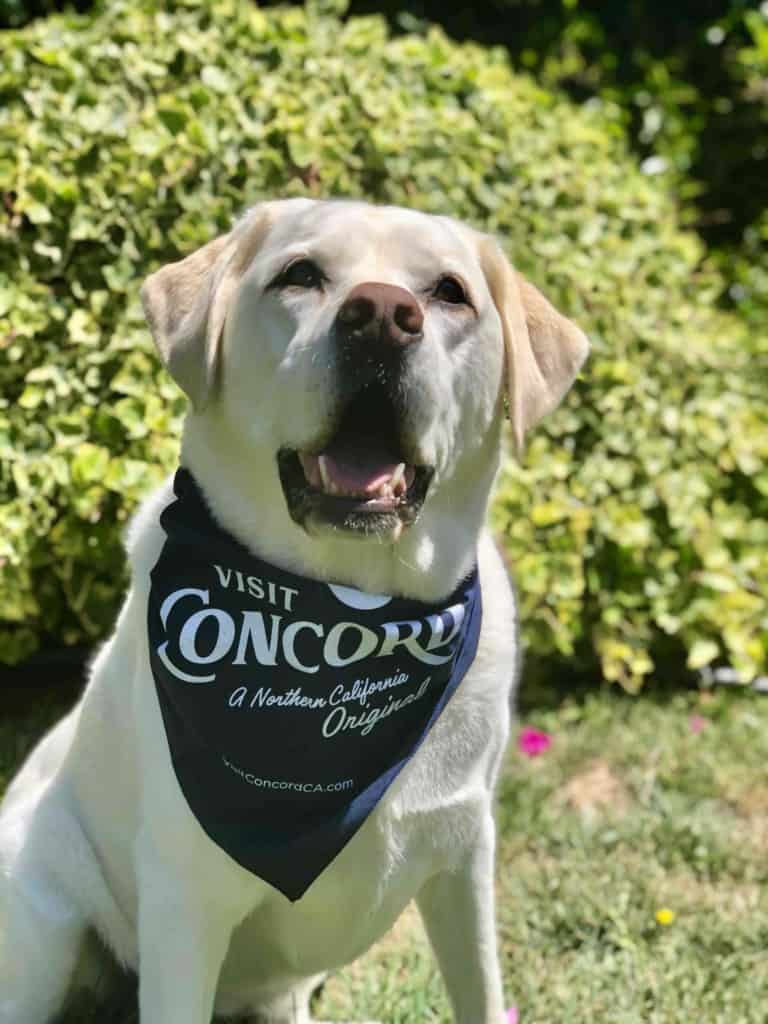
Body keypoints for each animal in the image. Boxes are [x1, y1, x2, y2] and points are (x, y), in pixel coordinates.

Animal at [1, 199, 589, 1024]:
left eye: (449, 291)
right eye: (301, 274)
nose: (382, 317)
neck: (349, 614)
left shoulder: (465, 858)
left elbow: (480, 991)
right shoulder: (186, 903)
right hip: (43, 925)